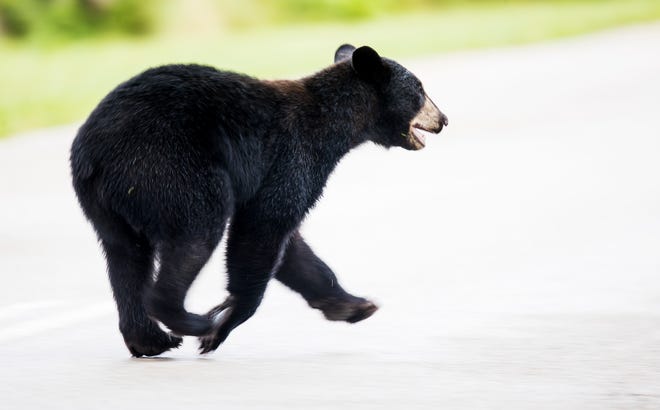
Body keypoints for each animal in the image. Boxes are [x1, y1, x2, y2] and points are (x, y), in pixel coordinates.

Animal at [69, 44, 448, 356]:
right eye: (420, 90)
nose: (443, 119)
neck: (333, 124)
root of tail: (93, 150)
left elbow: (293, 250)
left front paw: (354, 305)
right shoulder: (292, 156)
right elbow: (263, 228)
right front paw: (222, 325)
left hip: (107, 203)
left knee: (126, 256)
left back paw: (149, 339)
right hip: (168, 166)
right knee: (196, 231)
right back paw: (190, 321)